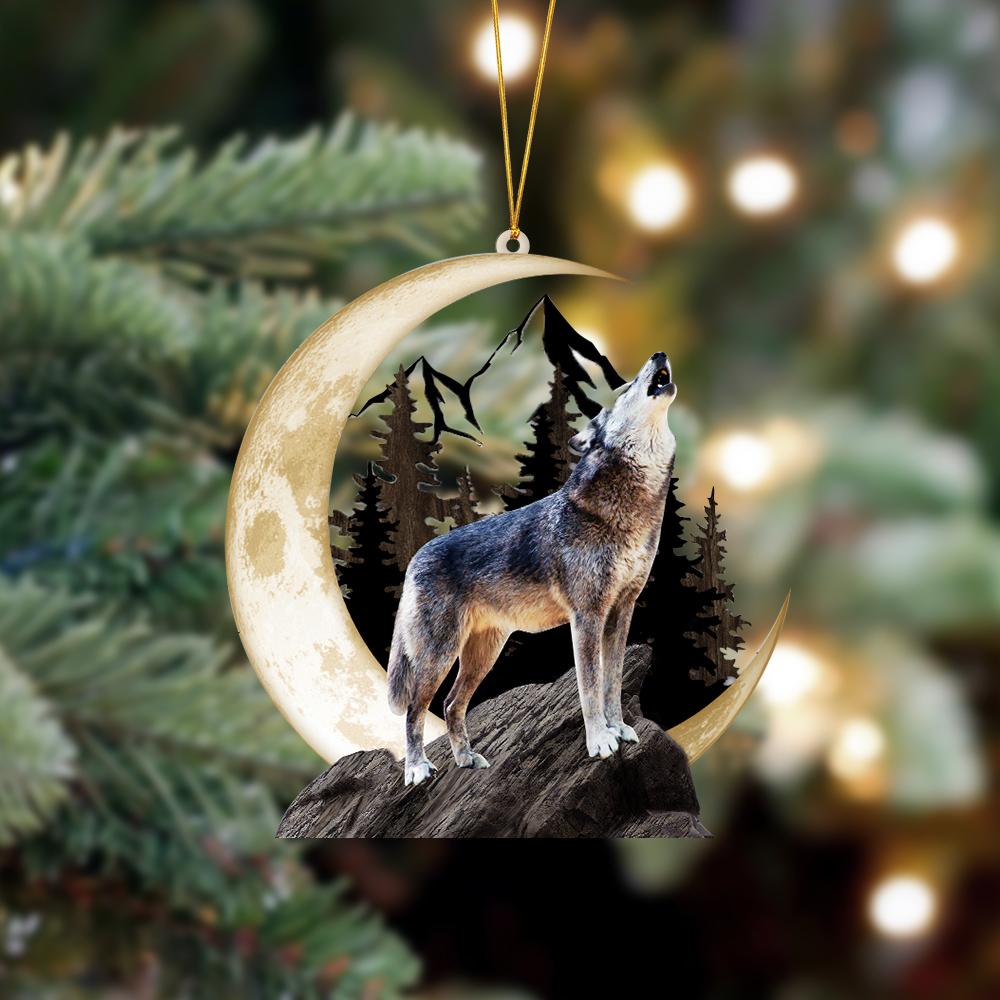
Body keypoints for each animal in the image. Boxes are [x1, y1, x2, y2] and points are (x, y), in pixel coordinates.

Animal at [386, 352, 678, 785]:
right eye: (625, 389)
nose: (658, 355)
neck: (628, 511)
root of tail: (414, 559)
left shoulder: (621, 612)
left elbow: (611, 683)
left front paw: (620, 729)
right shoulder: (587, 617)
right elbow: (590, 688)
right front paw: (600, 742)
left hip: (483, 655)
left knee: (452, 704)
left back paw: (466, 759)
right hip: (440, 655)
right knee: (414, 709)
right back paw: (417, 768)